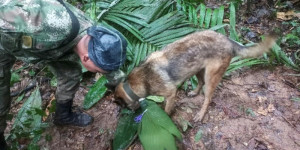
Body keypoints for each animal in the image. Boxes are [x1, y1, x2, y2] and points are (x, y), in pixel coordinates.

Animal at [115, 30, 276, 122]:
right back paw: (194, 92)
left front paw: (165, 117)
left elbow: (167, 109)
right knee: (200, 83)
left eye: (122, 105)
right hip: (198, 69)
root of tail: (229, 41)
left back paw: (200, 114)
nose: (128, 113)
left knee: (208, 98)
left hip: (211, 77)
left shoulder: (171, 93)